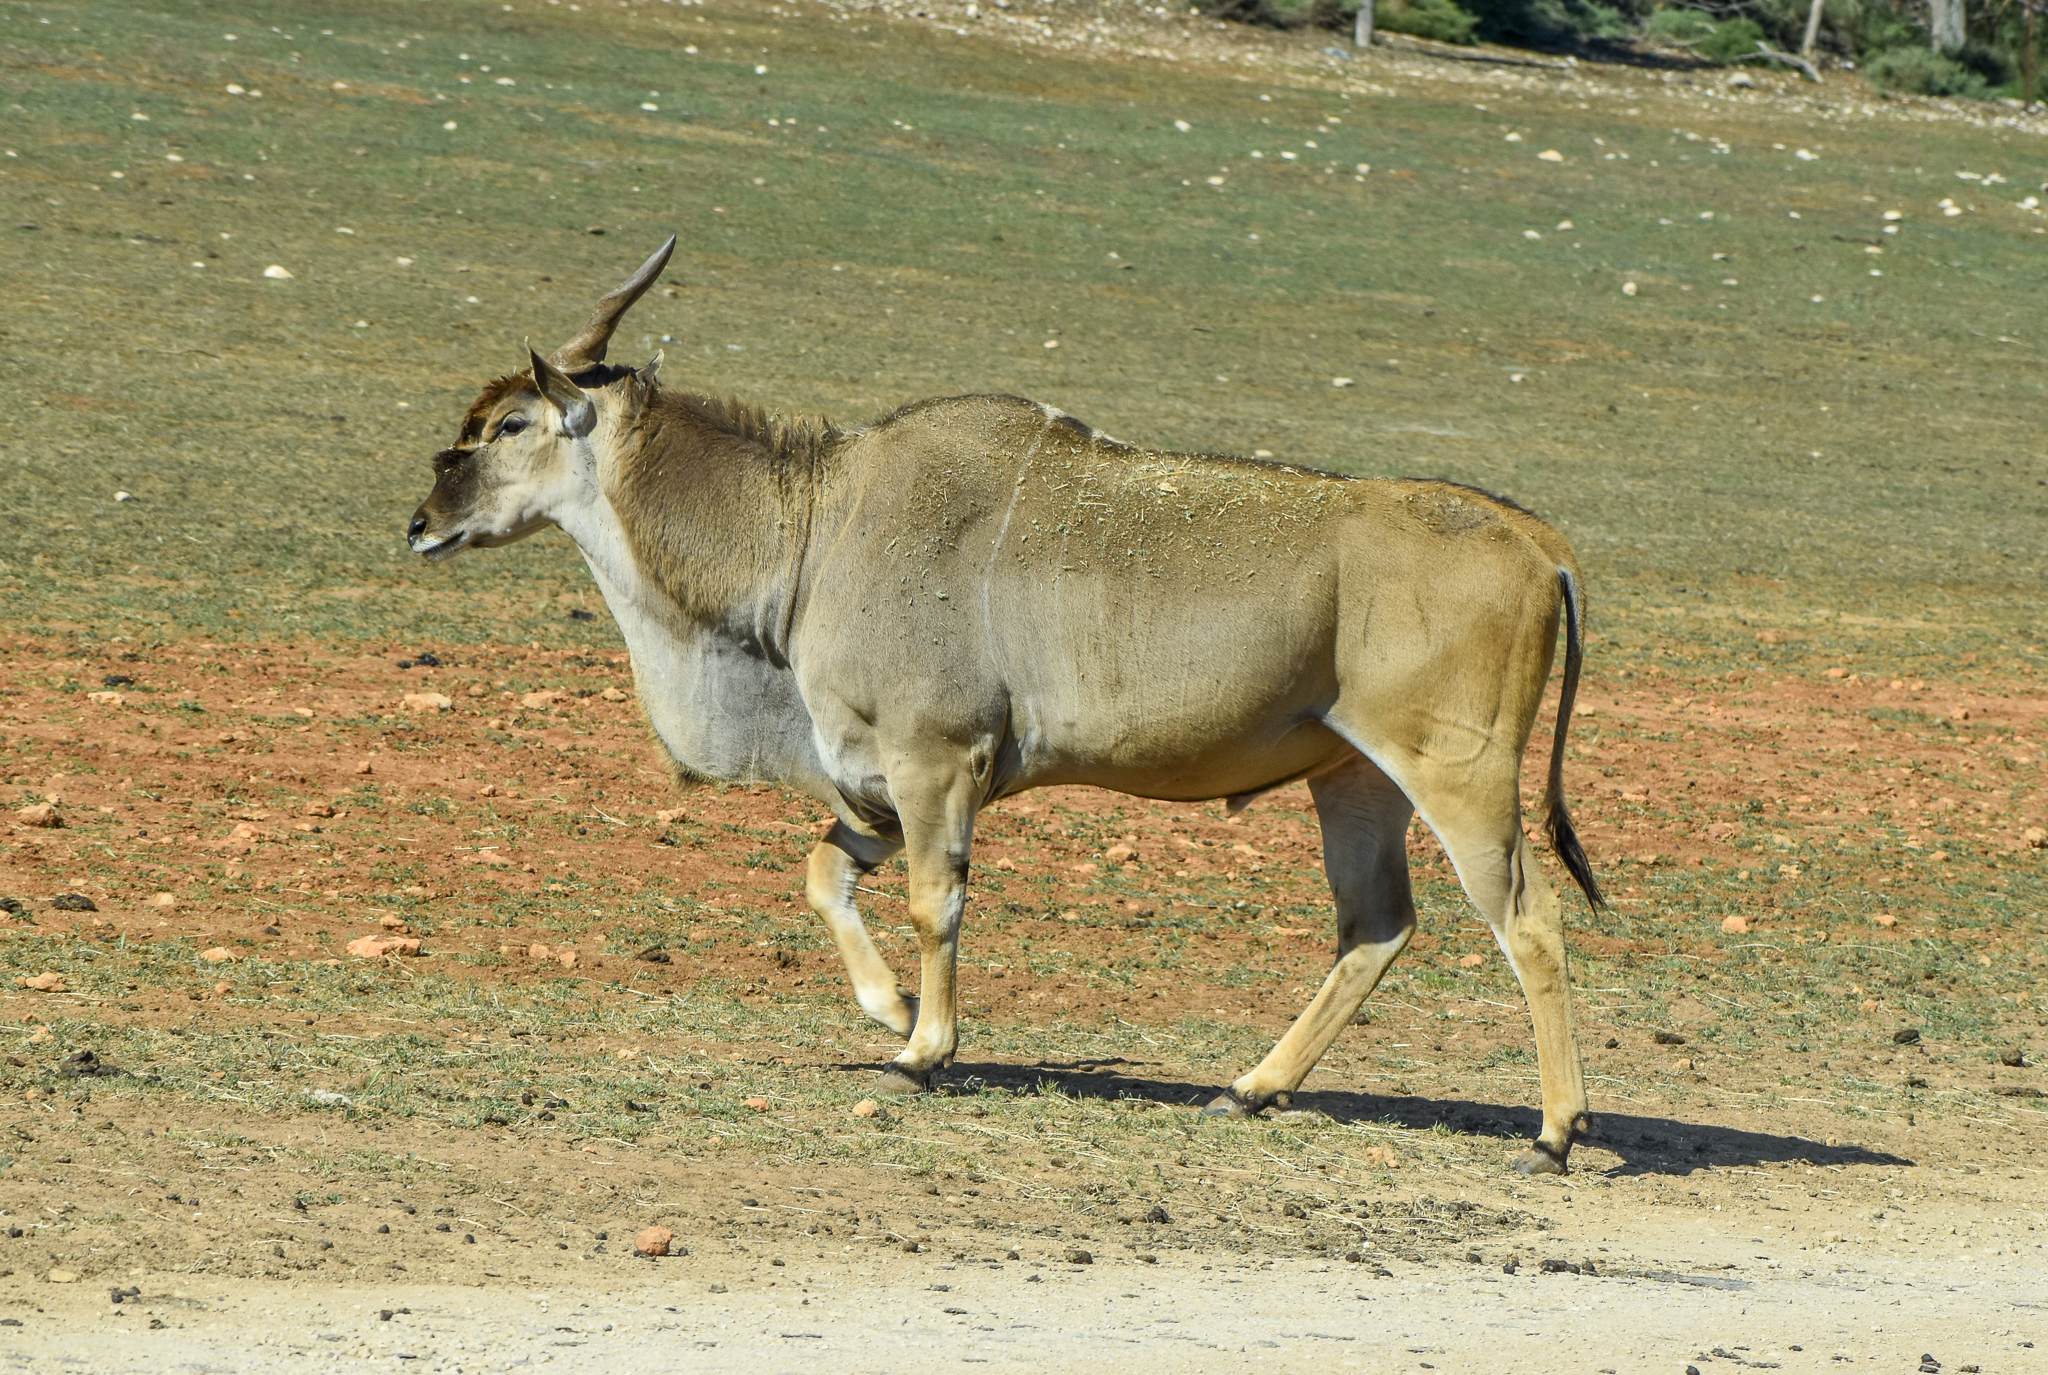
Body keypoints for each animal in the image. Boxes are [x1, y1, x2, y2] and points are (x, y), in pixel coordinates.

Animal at [407, 237, 1607, 1174]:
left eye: (509, 423)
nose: (421, 522)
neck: (820, 520)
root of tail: (1537, 542)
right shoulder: (877, 781)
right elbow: (824, 873)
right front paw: (892, 1009)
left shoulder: (936, 762)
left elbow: (935, 903)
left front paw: (922, 1048)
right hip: (1353, 779)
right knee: (1376, 925)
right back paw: (1251, 1086)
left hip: (1459, 776)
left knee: (1526, 918)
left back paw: (1555, 1131)